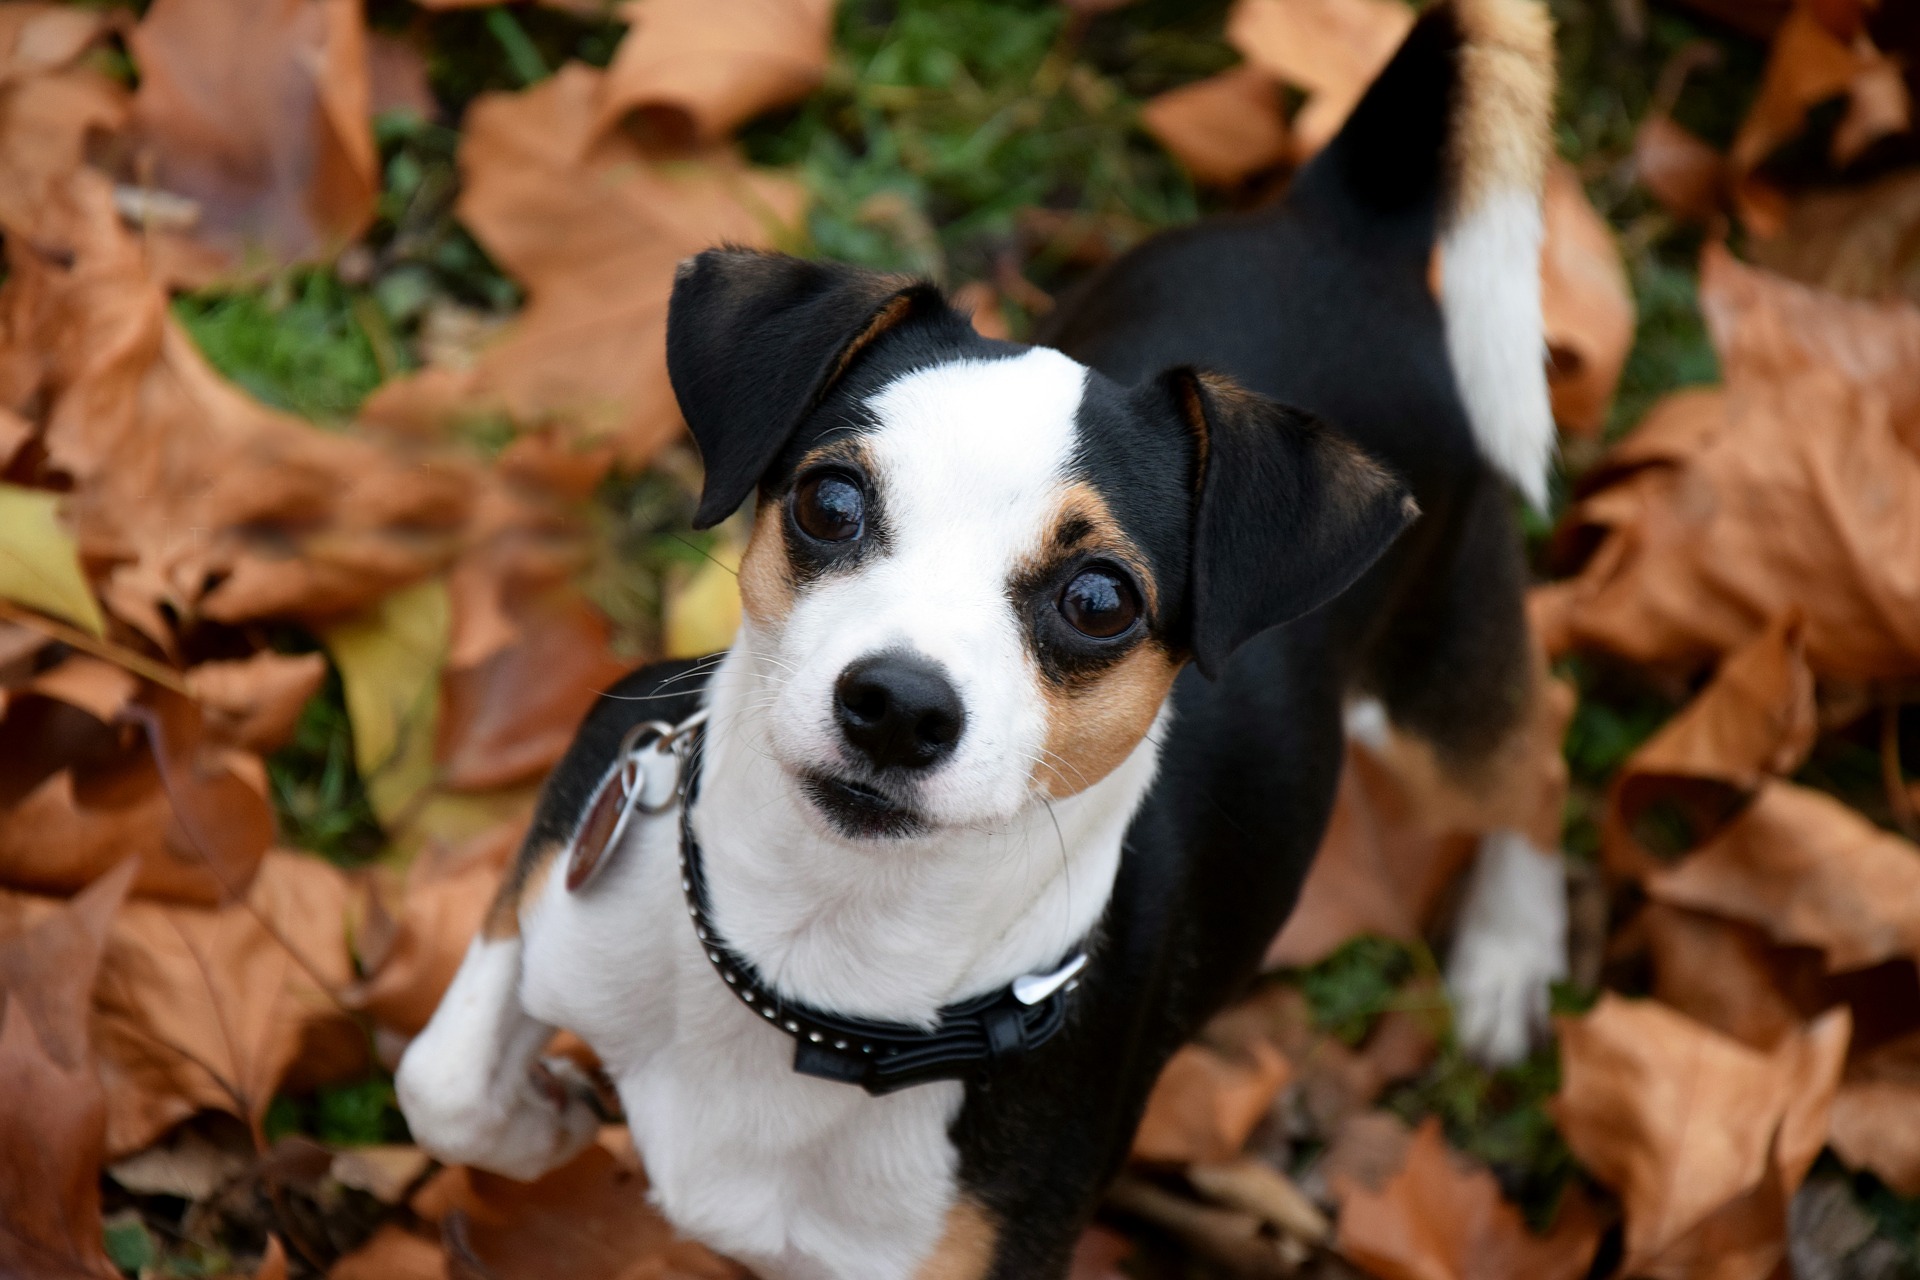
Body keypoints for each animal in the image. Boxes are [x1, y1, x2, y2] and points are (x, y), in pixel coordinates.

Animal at [397, 5, 1566, 1274]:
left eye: (1102, 599)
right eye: (830, 501)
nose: (898, 705)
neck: (814, 966)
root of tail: (1343, 215)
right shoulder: (578, 832)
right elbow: (439, 1083)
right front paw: (542, 1118)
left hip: (1442, 669)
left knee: (1530, 763)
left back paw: (1508, 954)